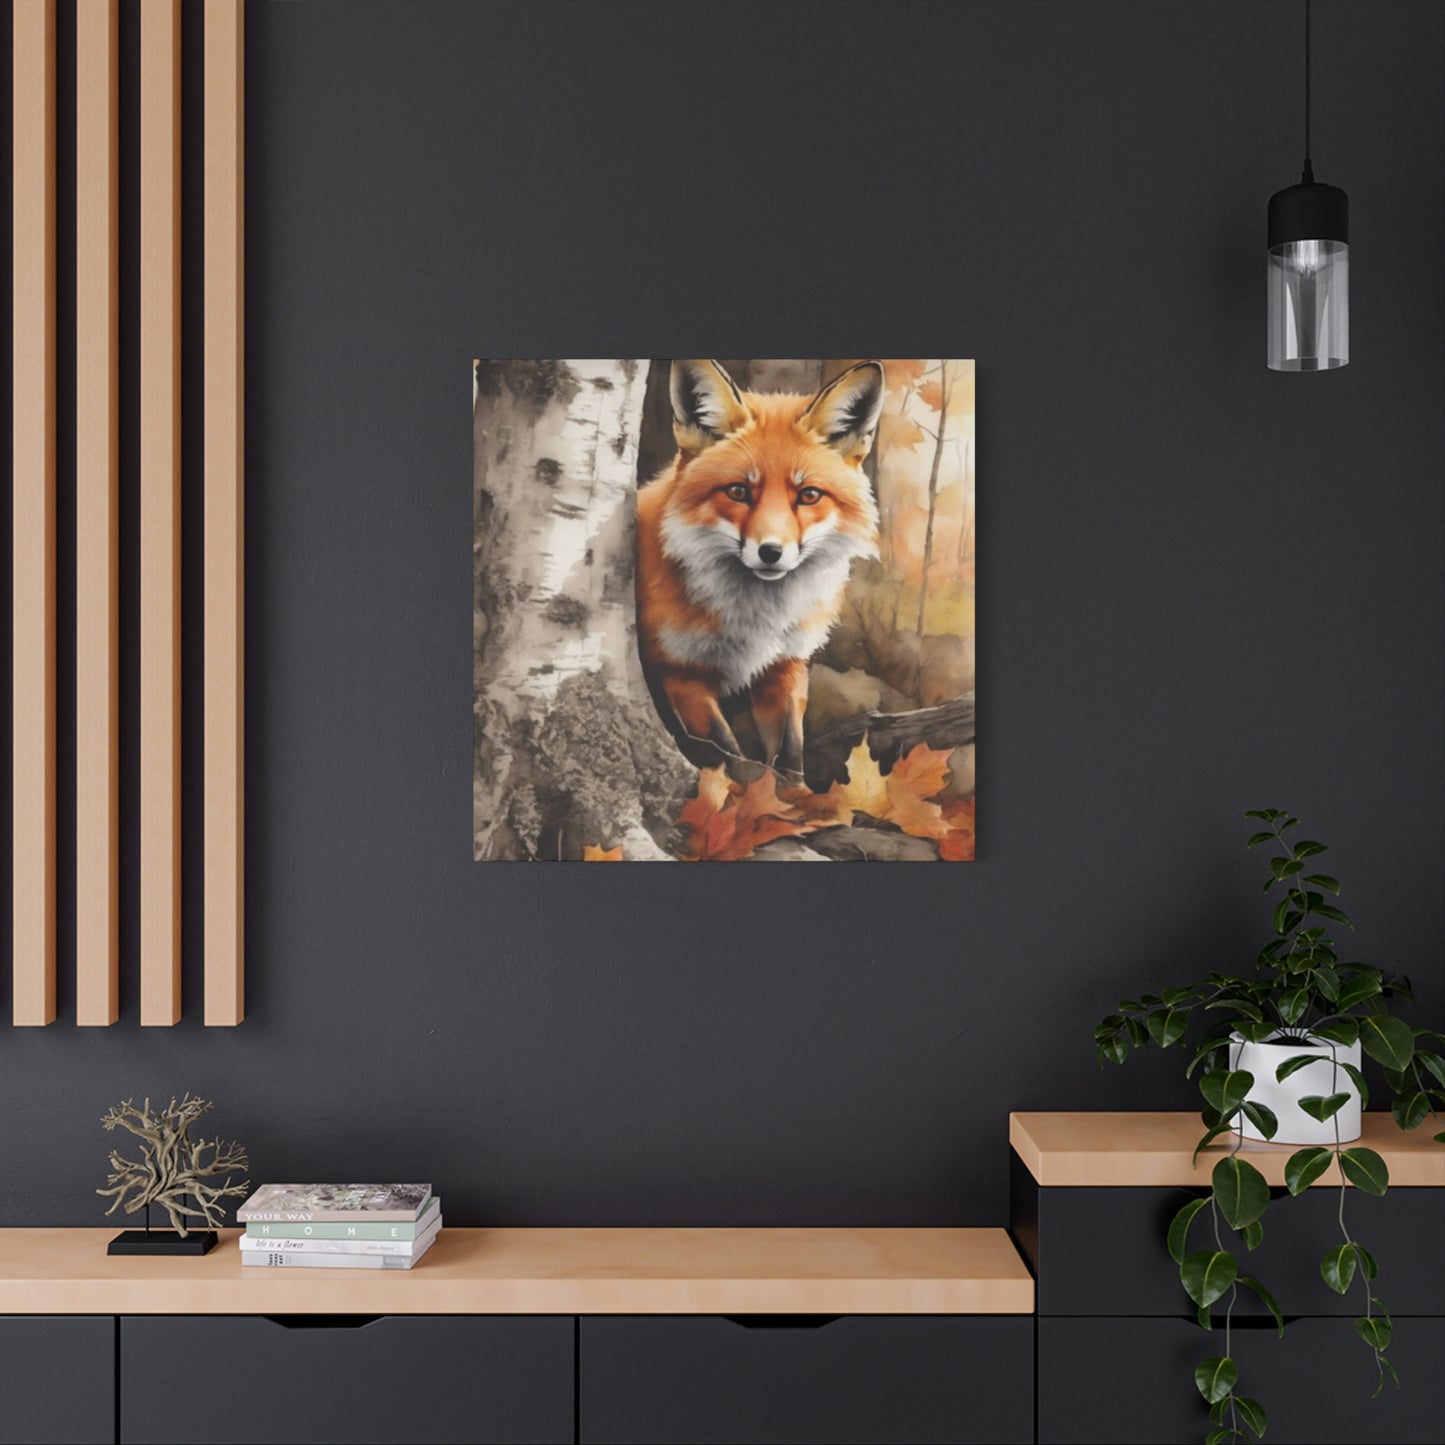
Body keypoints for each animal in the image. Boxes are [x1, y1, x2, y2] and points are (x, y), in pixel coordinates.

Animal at [636, 358, 885, 781]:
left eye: (809, 495)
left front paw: (795, 797)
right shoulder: (680, 673)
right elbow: (731, 757)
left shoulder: (786, 665)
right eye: (738, 491)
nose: (771, 552)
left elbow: (789, 754)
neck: (757, 620)